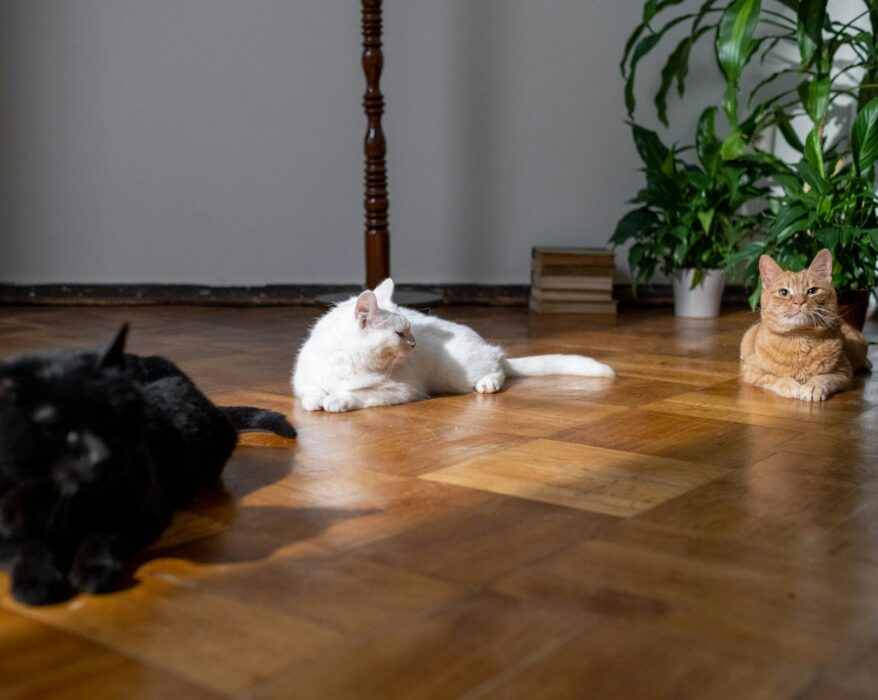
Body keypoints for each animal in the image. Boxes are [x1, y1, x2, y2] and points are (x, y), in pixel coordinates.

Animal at [0, 326, 296, 604]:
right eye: (54, 427)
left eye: (114, 416)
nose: (102, 455)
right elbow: (26, 545)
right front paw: (34, 581)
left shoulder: (142, 508)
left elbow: (104, 534)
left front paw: (91, 572)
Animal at [292, 278, 616, 412]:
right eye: (400, 334)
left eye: (409, 331)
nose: (414, 344)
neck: (346, 361)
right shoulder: (303, 380)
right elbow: (311, 393)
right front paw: (318, 400)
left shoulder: (401, 389)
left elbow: (358, 395)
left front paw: (337, 399)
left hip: (460, 373)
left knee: (498, 367)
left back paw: (488, 383)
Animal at [744, 249, 872, 402]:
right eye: (783, 292)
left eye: (812, 291)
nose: (799, 301)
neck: (800, 337)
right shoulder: (751, 370)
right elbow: (774, 377)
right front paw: (789, 385)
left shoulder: (844, 372)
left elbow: (824, 377)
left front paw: (812, 386)